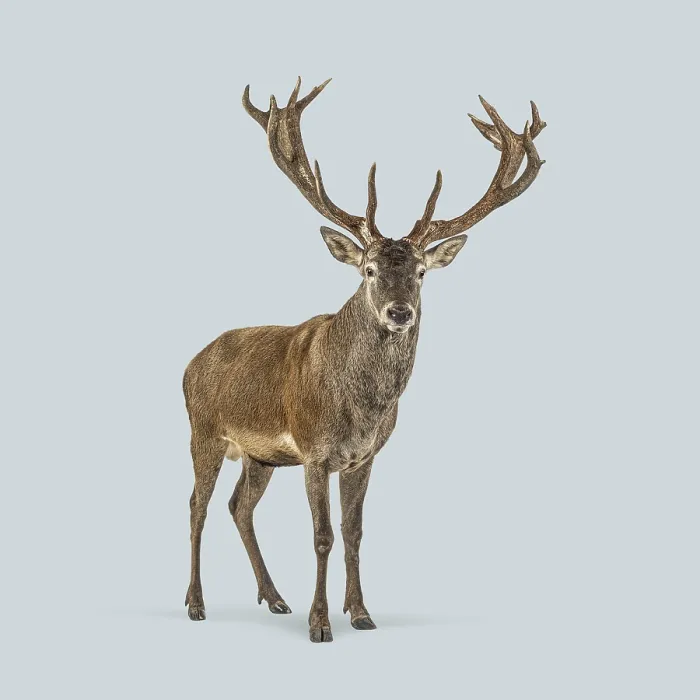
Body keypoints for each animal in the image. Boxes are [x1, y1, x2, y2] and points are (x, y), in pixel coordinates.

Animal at [183, 77, 546, 642]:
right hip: (203, 430)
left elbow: (353, 532)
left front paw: (360, 613)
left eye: (421, 272)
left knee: (238, 506)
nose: (399, 312)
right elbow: (322, 535)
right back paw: (197, 604)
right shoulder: (314, 450)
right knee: (196, 506)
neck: (360, 409)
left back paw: (274, 597)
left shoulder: (365, 456)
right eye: (369, 270)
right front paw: (320, 624)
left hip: (261, 455)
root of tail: (189, 364)